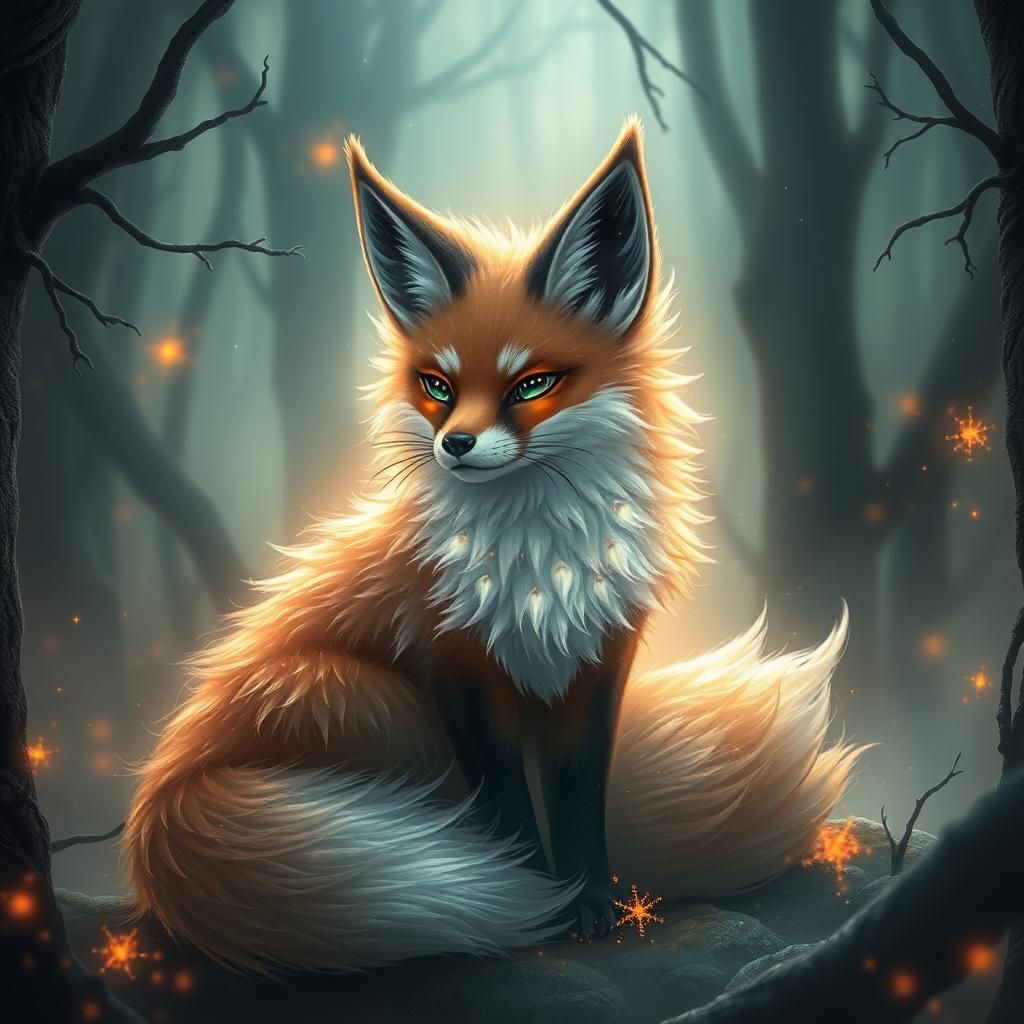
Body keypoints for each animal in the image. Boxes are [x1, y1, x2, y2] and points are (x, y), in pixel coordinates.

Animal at [123, 117, 862, 973]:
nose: (455, 445)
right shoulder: (456, 668)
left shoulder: (597, 666)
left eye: (531, 384)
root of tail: (159, 799)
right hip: (369, 700)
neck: (539, 571)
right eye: (438, 386)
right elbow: (508, 809)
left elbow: (579, 803)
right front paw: (537, 904)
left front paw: (593, 903)